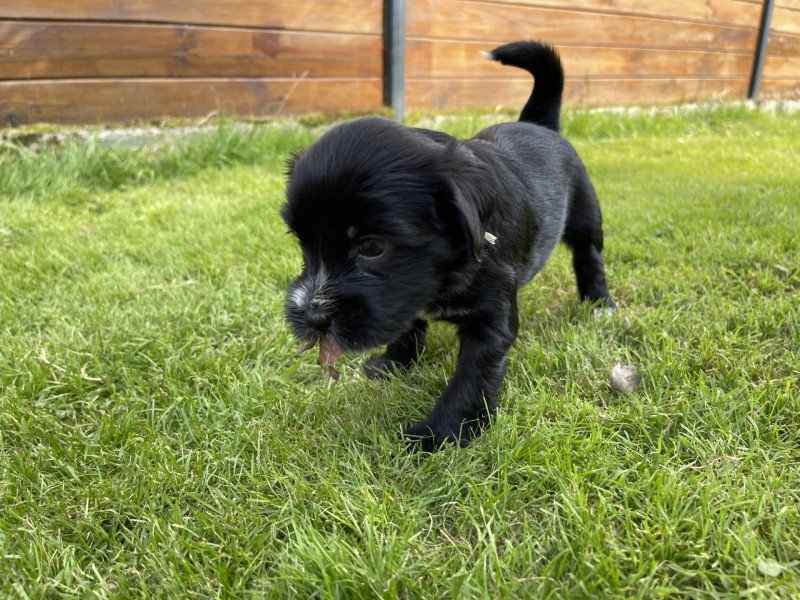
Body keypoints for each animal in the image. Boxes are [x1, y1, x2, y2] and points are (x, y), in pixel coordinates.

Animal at [282, 41, 612, 450]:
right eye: (302, 244)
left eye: (372, 247)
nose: (312, 318)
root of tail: (537, 123)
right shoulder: (406, 295)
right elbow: (406, 325)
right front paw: (394, 364)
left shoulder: (491, 318)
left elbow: (470, 378)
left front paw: (440, 435)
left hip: (584, 211)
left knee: (589, 255)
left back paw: (599, 303)